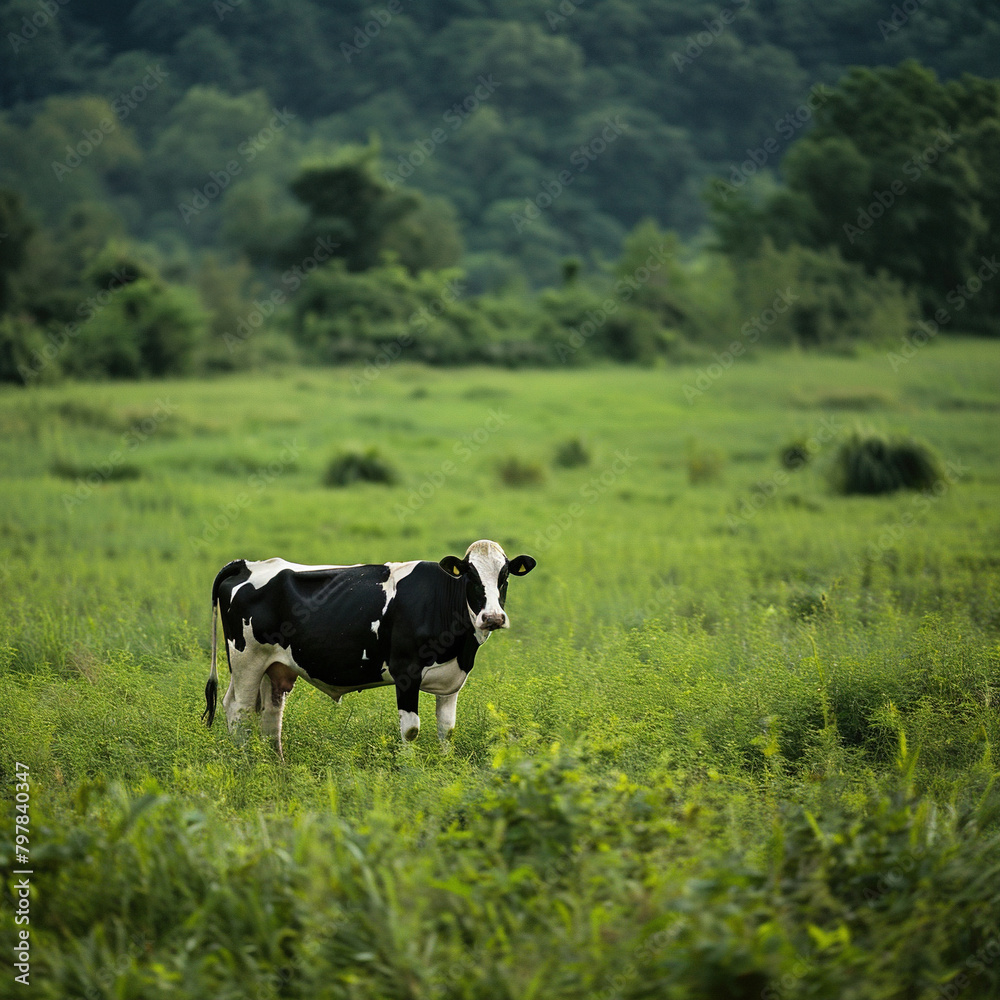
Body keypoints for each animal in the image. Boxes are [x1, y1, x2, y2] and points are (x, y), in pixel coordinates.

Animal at [199, 544, 536, 752]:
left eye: (504, 575)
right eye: (470, 574)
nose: (492, 617)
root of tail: (247, 564)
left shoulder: (452, 680)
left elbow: (447, 729)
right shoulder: (406, 672)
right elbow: (411, 730)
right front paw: (410, 773)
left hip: (275, 667)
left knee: (270, 714)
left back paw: (275, 765)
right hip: (247, 661)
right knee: (239, 710)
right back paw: (247, 763)